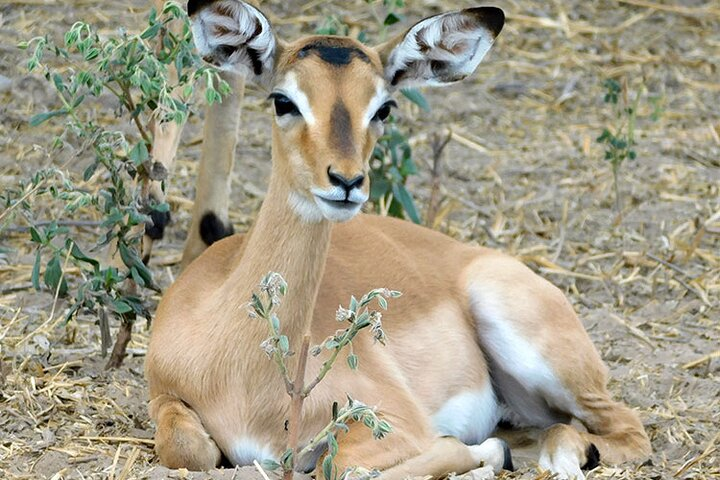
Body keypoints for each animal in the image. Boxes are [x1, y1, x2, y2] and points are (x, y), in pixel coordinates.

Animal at [145, 1, 652, 478]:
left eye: (383, 107)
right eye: (283, 100)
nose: (346, 181)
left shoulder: (399, 422)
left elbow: (348, 465)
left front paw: (481, 455)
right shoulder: (165, 396)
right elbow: (187, 448)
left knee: (626, 428)